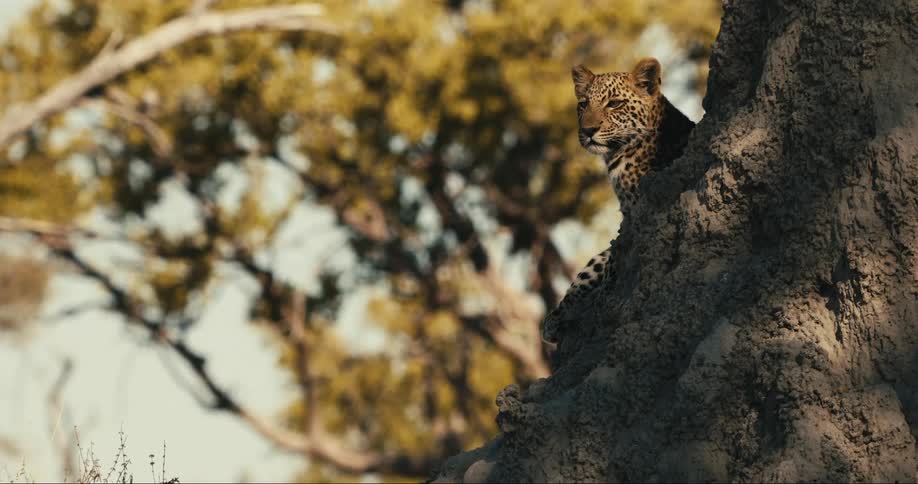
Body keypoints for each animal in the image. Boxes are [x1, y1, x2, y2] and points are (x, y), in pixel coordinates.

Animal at [541, 57, 695, 344]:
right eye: (583, 104)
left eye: (614, 104)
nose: (588, 130)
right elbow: (595, 262)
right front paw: (558, 315)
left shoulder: (635, 214)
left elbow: (611, 259)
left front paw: (602, 299)